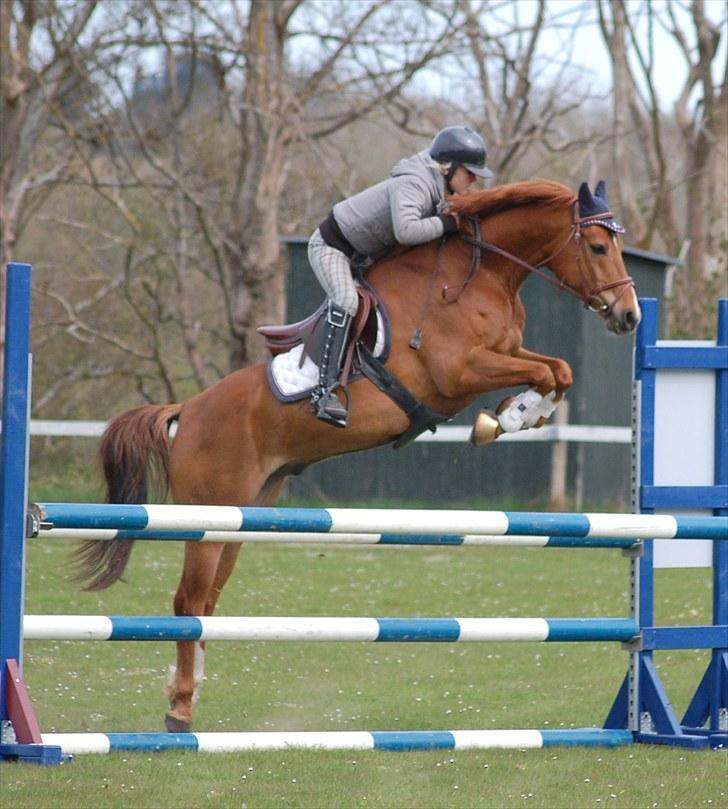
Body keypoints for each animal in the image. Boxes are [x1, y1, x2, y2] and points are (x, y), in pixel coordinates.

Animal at [71, 178, 640, 732]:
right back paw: (180, 709)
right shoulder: (460, 371)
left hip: (241, 516)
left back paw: (184, 692)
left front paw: (514, 415)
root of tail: (187, 411)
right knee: (188, 601)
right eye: (597, 246)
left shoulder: (505, 352)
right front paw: (507, 418)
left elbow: (558, 369)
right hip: (208, 517)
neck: (477, 276)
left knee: (206, 602)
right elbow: (547, 371)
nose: (630, 316)